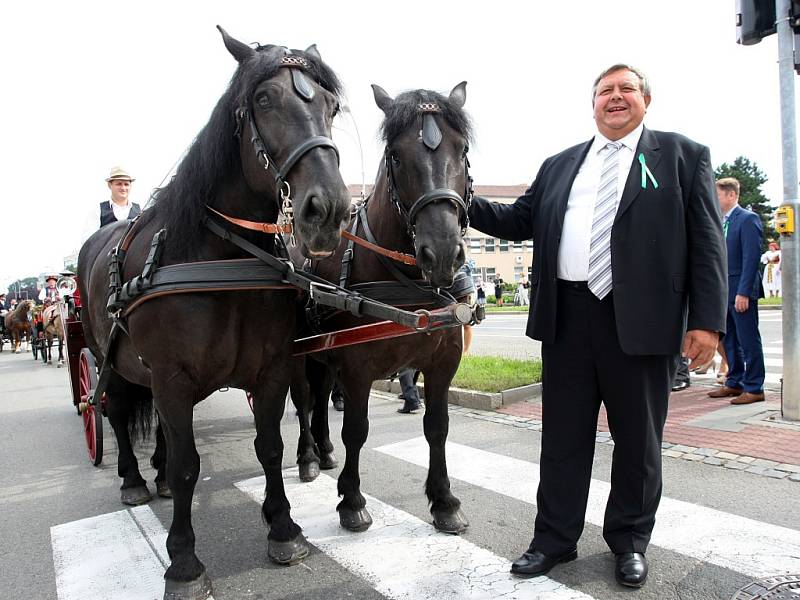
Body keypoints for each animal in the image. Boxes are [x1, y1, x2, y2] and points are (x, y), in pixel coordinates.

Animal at [78, 28, 350, 600]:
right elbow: (188, 468)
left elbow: (269, 447)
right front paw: (183, 562)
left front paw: (283, 529)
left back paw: (154, 473)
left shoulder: (271, 370)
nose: (330, 210)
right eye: (264, 99)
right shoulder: (173, 377)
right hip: (105, 355)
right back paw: (134, 480)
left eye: (331, 105)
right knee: (115, 410)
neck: (222, 256)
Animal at [290, 82, 472, 532]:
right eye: (396, 156)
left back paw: (324, 450)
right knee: (304, 401)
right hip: (298, 356)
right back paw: (307, 456)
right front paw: (352, 500)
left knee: (321, 397)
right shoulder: (357, 368)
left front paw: (444, 500)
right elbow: (356, 429)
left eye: (461, 149)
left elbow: (437, 427)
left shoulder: (444, 361)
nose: (443, 253)